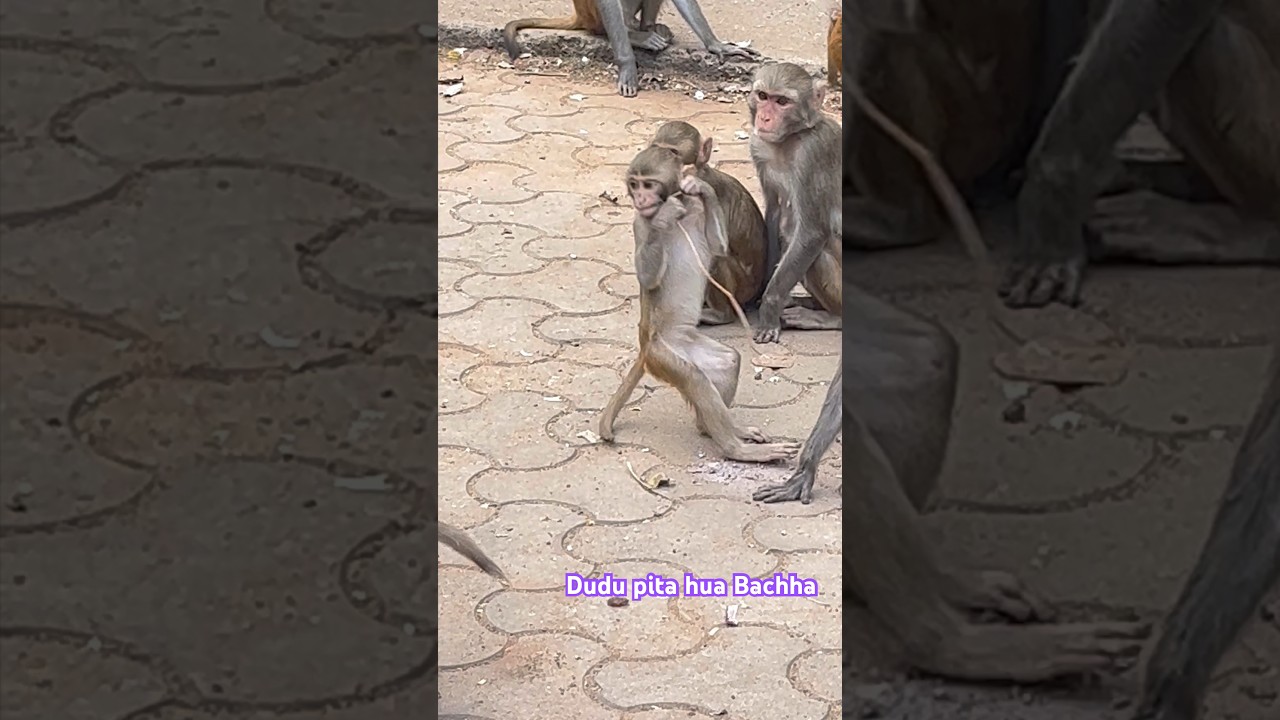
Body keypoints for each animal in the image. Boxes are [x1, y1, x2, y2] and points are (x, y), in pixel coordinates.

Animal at [502, 0, 760, 98]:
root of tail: (580, 16)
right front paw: (627, 67)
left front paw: (716, 45)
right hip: (593, 15)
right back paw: (634, 36)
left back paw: (647, 28)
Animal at [597, 146, 800, 463]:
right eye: (634, 184)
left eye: (648, 184)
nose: (640, 199)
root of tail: (646, 345)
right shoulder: (640, 223)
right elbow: (648, 277)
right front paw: (664, 216)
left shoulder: (697, 209)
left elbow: (718, 248)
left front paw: (700, 187)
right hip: (662, 356)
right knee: (694, 379)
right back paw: (738, 450)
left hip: (688, 346)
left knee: (729, 361)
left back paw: (722, 430)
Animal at [649, 121, 776, 325]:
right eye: (657, 150)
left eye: (673, 153)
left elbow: (717, 247)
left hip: (743, 289)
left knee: (713, 256)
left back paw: (720, 315)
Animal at [747, 63, 843, 344]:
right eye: (763, 96)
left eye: (782, 102)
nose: (764, 119)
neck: (790, 139)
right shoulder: (759, 146)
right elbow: (774, 213)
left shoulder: (813, 154)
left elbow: (811, 232)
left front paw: (769, 311)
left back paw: (831, 317)